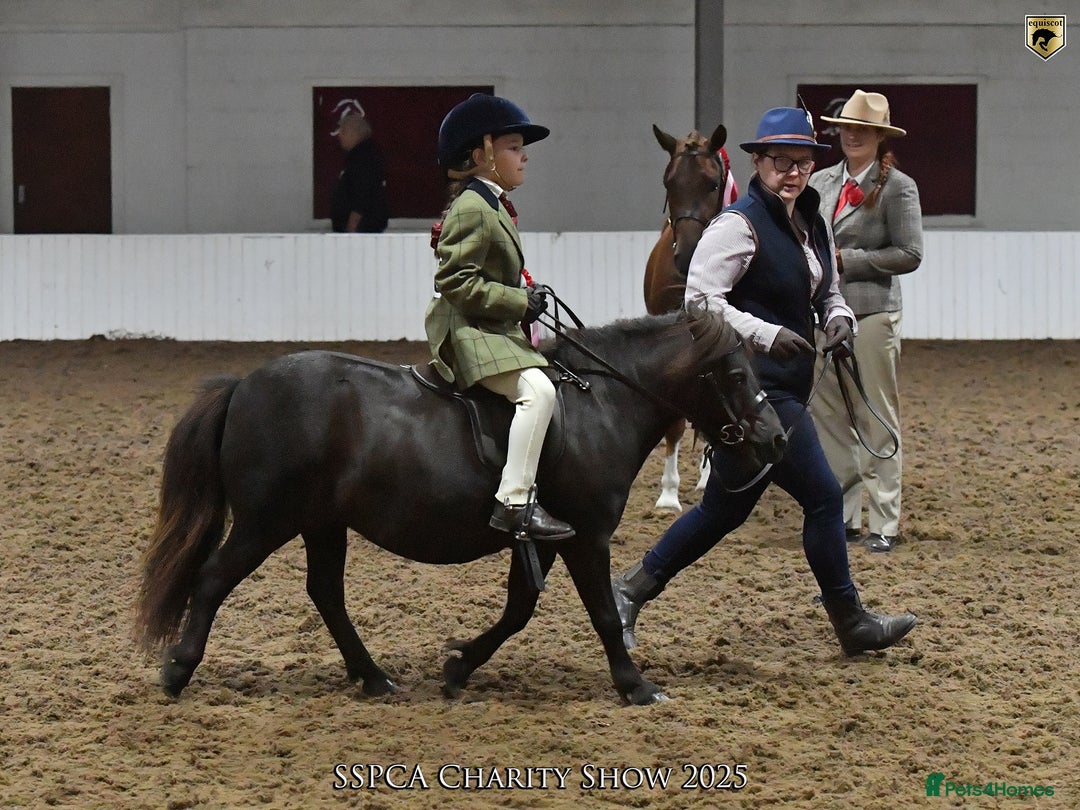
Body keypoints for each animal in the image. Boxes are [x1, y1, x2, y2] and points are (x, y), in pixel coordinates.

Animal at [134, 308, 786, 706]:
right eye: (734, 373)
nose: (777, 439)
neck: (599, 403)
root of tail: (244, 385)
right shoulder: (587, 536)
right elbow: (602, 613)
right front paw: (636, 685)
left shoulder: (543, 537)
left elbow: (518, 610)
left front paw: (458, 668)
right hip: (266, 522)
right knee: (214, 578)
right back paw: (178, 670)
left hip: (322, 524)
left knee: (325, 594)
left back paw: (374, 678)